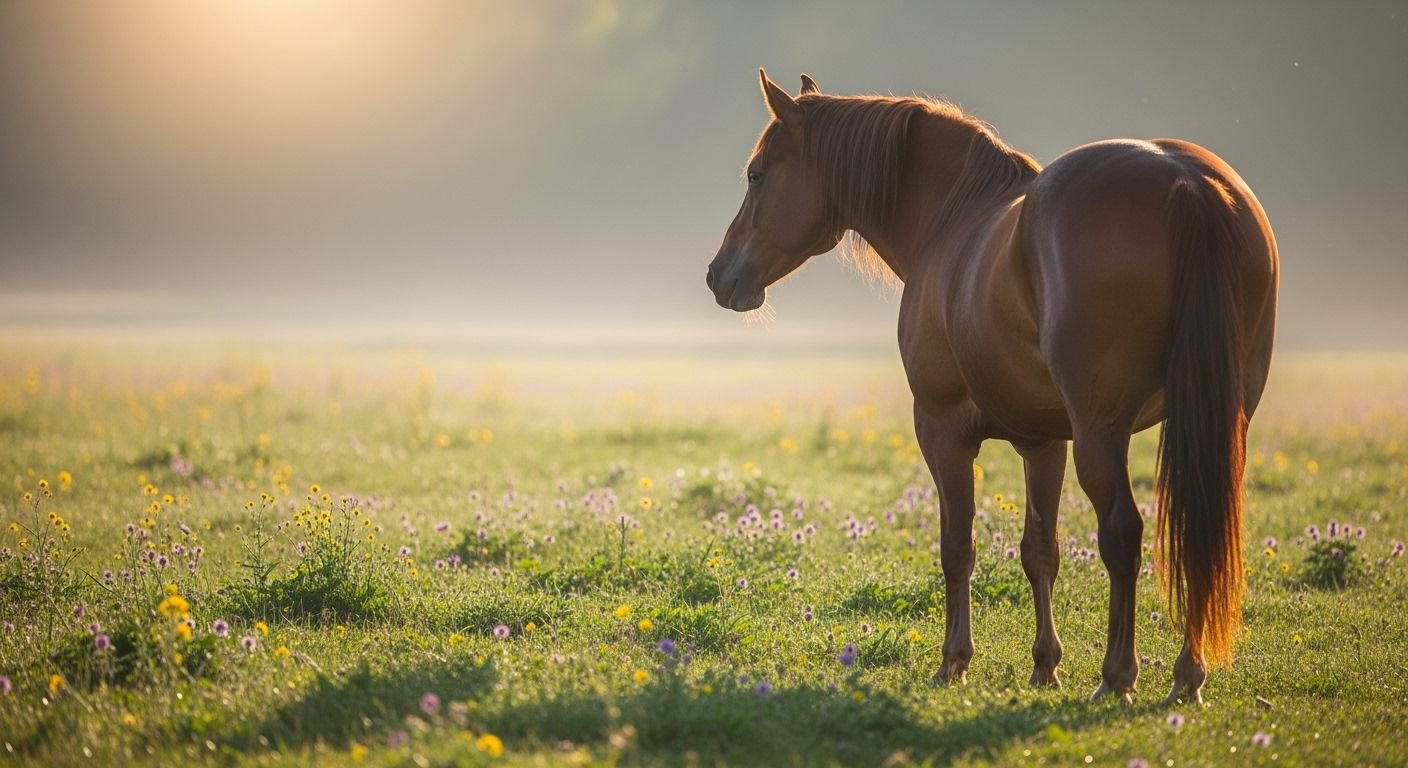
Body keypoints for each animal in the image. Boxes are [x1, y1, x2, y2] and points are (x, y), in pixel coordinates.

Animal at [706, 71, 1277, 704]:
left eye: (757, 174)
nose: (719, 275)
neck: (951, 223)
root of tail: (1186, 182)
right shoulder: (1045, 441)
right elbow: (1040, 551)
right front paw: (1045, 664)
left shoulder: (942, 430)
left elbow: (958, 547)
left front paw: (954, 661)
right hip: (1214, 423)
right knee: (1203, 533)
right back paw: (1186, 676)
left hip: (1102, 433)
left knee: (1123, 533)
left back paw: (1117, 677)